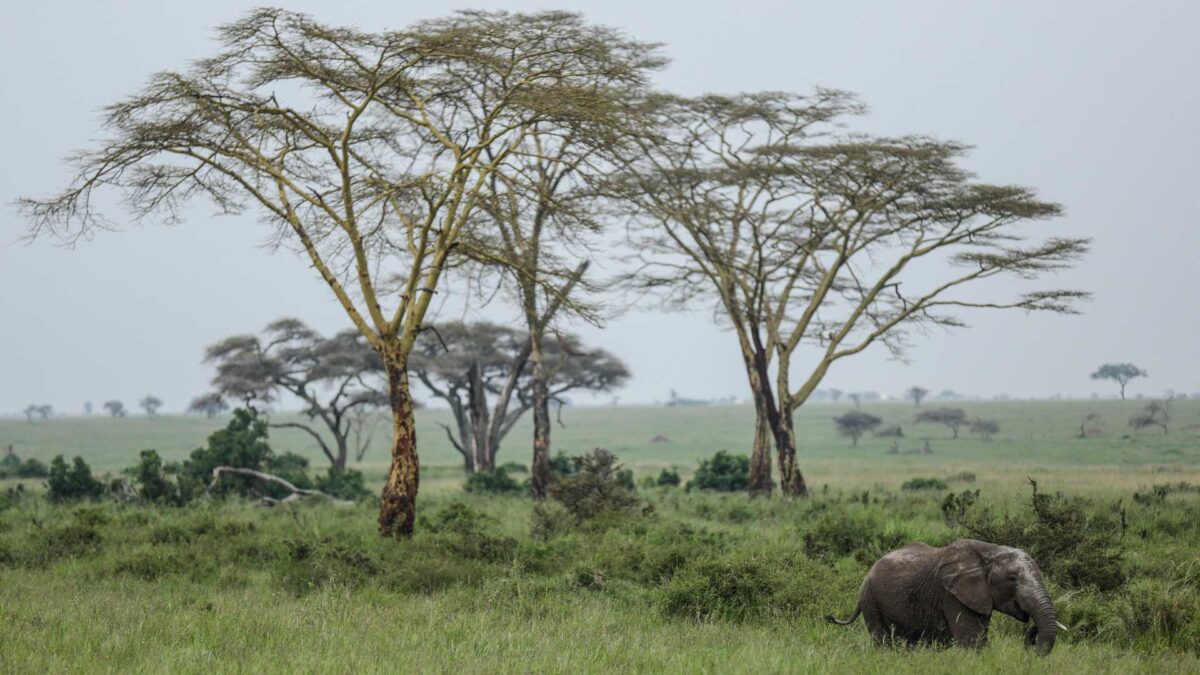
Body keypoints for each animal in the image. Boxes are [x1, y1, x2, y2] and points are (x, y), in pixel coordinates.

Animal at [825, 535, 1060, 653]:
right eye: (1012, 579)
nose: (1033, 632)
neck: (990, 551)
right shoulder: (953, 595)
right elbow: (972, 642)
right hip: (871, 600)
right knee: (881, 639)